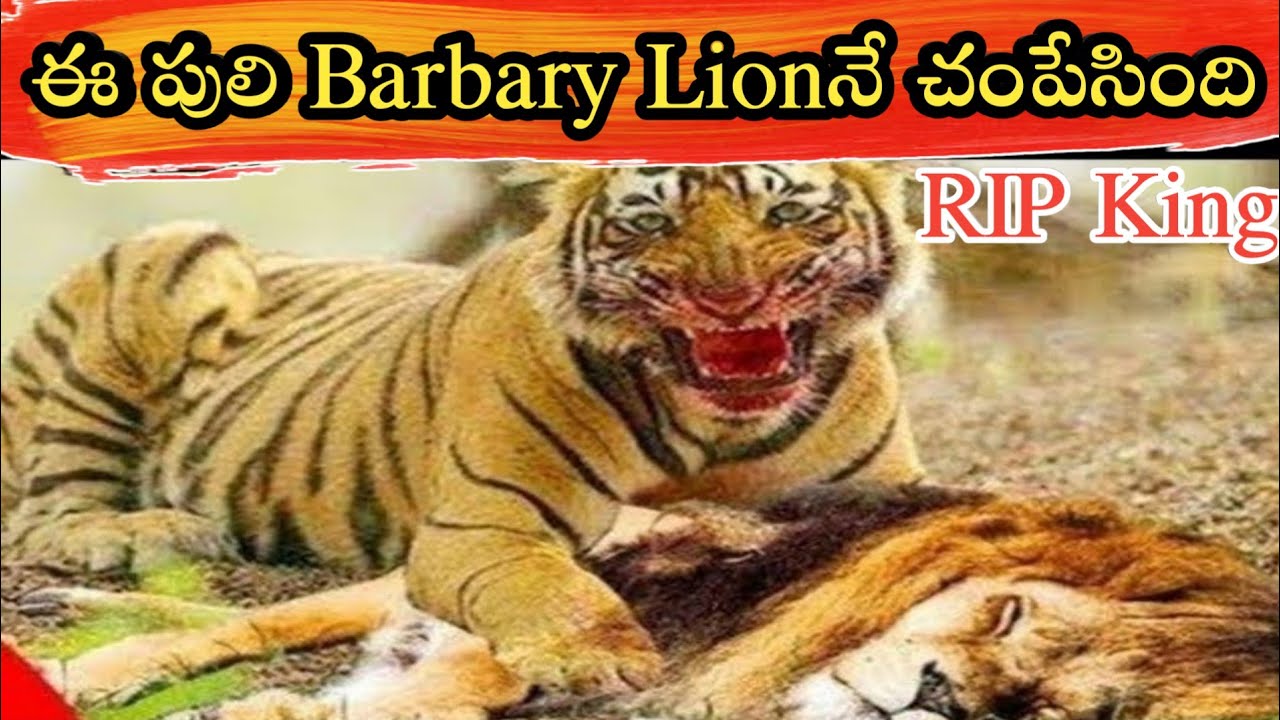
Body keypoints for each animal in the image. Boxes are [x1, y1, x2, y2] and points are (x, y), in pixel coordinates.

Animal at [0, 161, 926, 693]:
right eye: (650, 223)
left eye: (788, 215)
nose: (729, 300)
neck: (717, 423)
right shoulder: (484, 526)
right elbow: (549, 585)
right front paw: (593, 657)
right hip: (184, 251)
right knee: (44, 511)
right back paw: (136, 534)